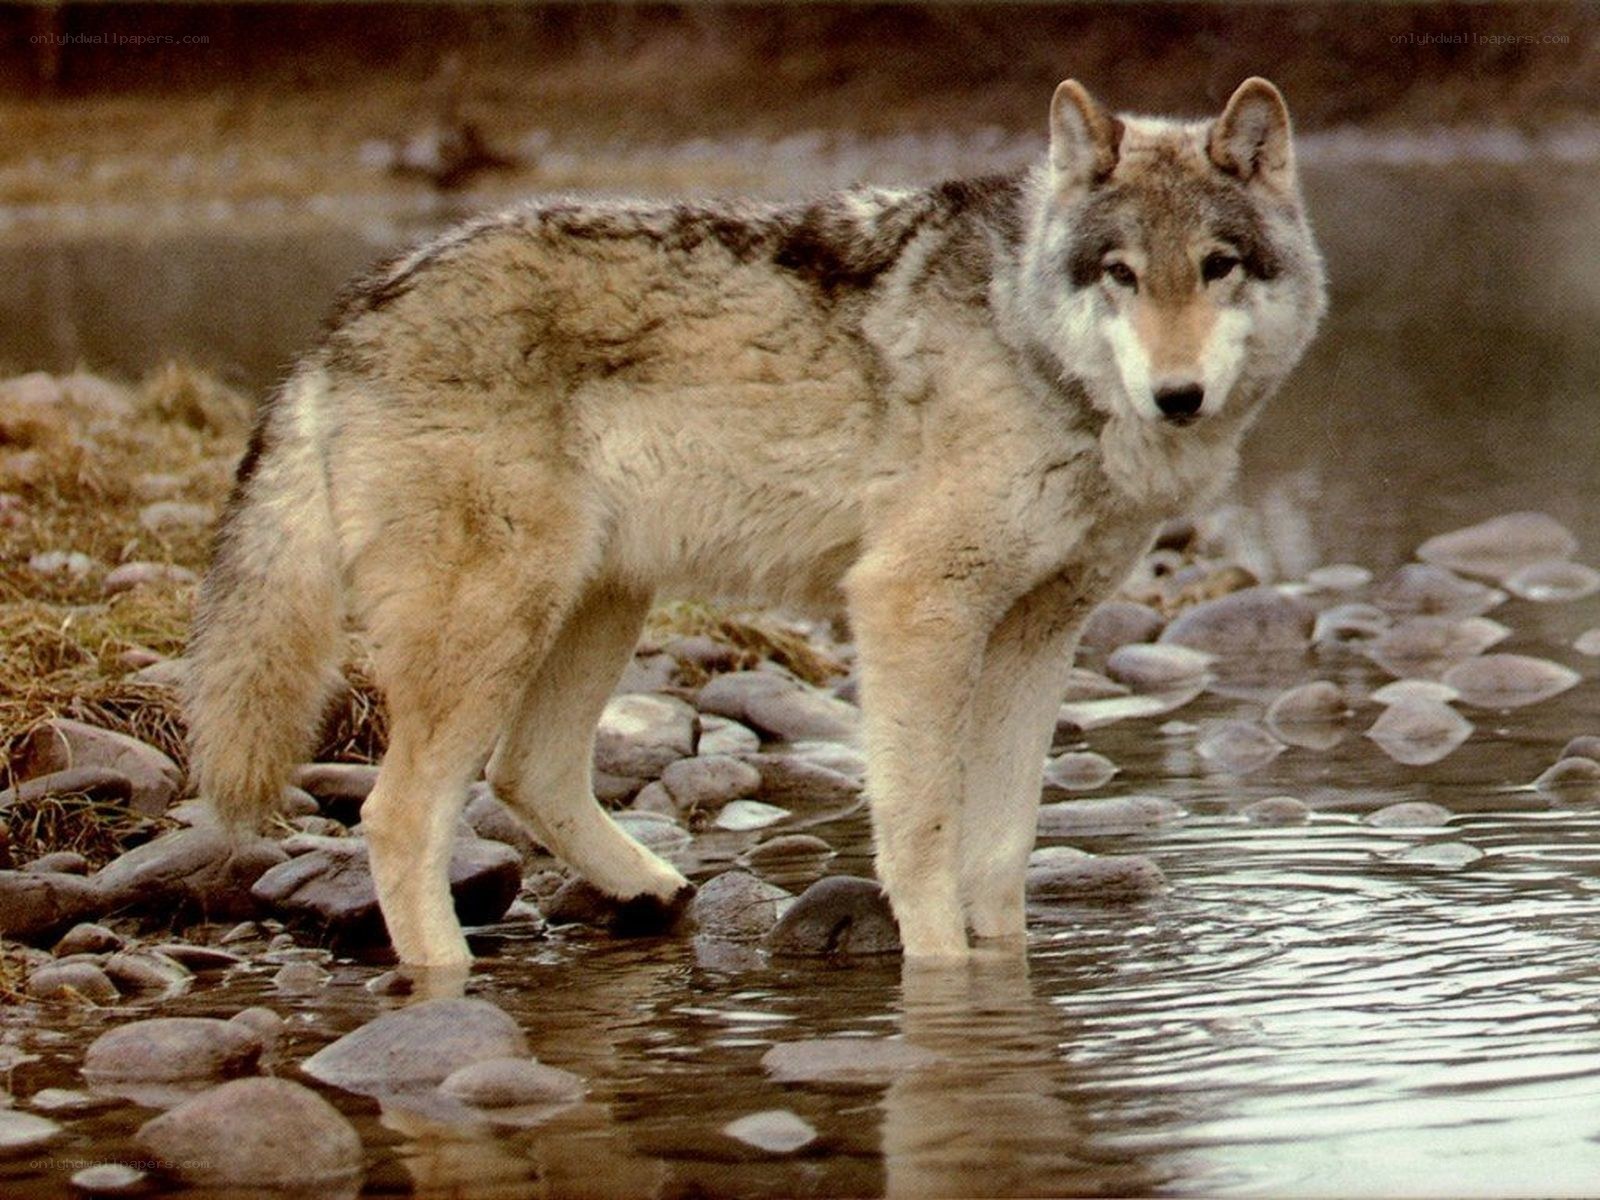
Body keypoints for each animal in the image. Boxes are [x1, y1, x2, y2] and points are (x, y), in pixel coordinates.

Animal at [186, 78, 1326, 965]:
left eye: (1217, 266)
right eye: (1120, 273)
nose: (1177, 396)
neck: (1028, 345)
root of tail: (347, 317)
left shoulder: (1038, 636)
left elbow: (1001, 851)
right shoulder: (911, 608)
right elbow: (922, 833)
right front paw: (940, 976)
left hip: (599, 602)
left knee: (527, 774)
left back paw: (652, 892)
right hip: (496, 625)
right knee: (399, 816)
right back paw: (447, 990)